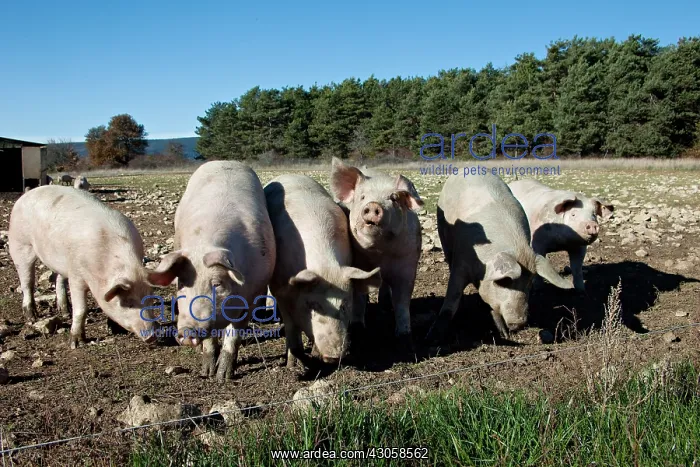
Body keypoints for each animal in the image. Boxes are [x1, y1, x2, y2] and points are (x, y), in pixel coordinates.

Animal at [8, 185, 170, 348]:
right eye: (128, 304)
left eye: (150, 300)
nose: (152, 337)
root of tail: (27, 194)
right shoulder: (77, 274)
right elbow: (81, 309)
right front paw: (76, 343)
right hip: (20, 244)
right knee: (27, 282)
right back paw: (32, 317)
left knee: (57, 278)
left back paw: (65, 312)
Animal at [149, 161, 276, 381]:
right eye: (182, 284)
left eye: (217, 283)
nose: (187, 332)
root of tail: (226, 161)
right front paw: (206, 373)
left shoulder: (254, 292)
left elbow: (234, 335)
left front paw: (222, 377)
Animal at [264, 174, 382, 368]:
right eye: (312, 305)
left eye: (344, 305)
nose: (334, 356)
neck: (324, 268)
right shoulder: (279, 289)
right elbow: (291, 326)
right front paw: (293, 364)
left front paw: (313, 352)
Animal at [330, 158, 423, 353]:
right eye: (363, 197)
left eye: (394, 198)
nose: (373, 205)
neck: (380, 254)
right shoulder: (358, 266)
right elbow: (358, 299)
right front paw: (358, 329)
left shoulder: (408, 266)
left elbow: (402, 302)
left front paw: (405, 342)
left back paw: (385, 305)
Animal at [424, 173, 574, 344]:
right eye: (504, 282)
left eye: (529, 283)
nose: (519, 323)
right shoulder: (460, 265)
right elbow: (451, 301)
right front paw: (431, 338)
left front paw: (505, 334)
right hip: (444, 237)